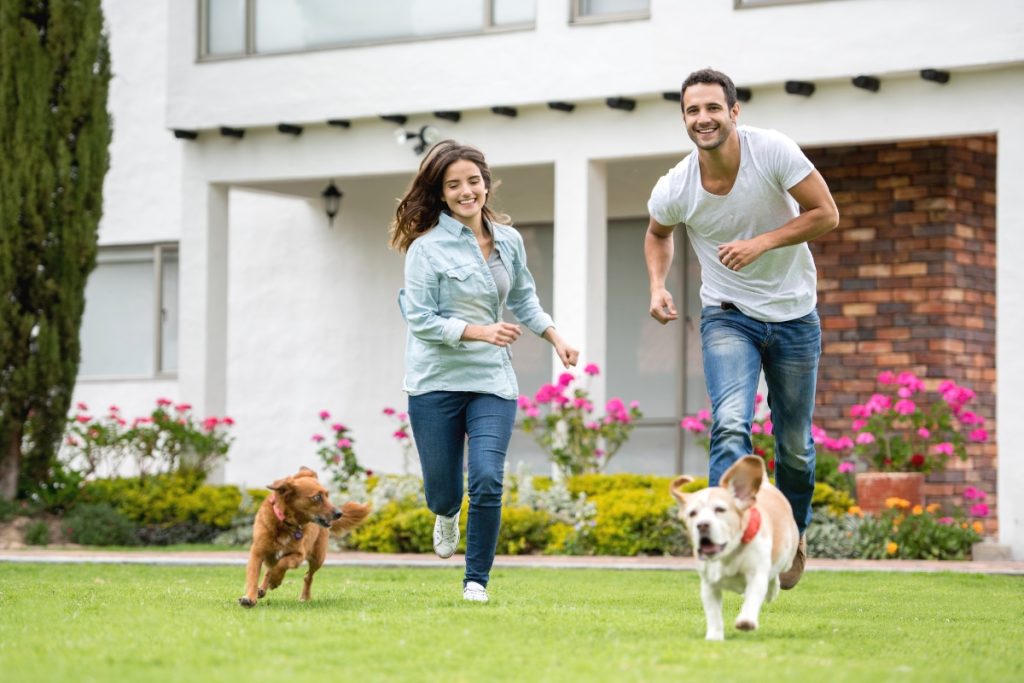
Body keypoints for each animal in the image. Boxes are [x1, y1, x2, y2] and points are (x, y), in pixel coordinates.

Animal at [237, 464, 370, 610]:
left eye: (327, 495)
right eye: (317, 497)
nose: (339, 513)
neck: (285, 523)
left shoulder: (299, 555)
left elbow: (282, 563)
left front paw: (275, 580)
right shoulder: (257, 552)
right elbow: (253, 576)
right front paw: (250, 597)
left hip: (318, 558)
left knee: (308, 577)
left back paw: (304, 597)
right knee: (270, 569)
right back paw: (262, 588)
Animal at [667, 454, 802, 643]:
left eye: (720, 510)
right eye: (692, 513)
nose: (702, 525)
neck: (727, 554)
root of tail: (765, 485)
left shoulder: (756, 575)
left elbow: (753, 598)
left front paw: (746, 621)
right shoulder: (709, 585)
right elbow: (714, 614)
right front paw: (714, 637)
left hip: (787, 557)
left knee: (776, 576)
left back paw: (772, 589)